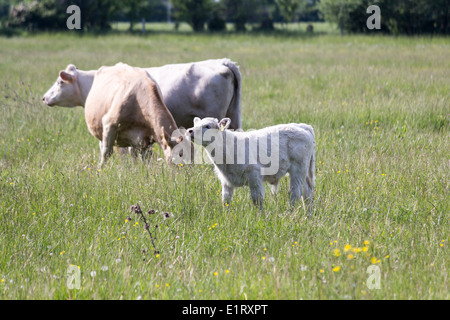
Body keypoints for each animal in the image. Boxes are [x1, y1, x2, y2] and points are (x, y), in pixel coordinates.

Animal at [185, 117, 314, 210]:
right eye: (195, 125)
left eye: (207, 126)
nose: (190, 131)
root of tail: (302, 126)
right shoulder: (226, 181)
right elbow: (225, 201)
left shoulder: (254, 176)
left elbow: (257, 199)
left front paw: (261, 218)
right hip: (305, 172)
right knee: (307, 194)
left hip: (298, 169)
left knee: (295, 193)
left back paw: (290, 213)